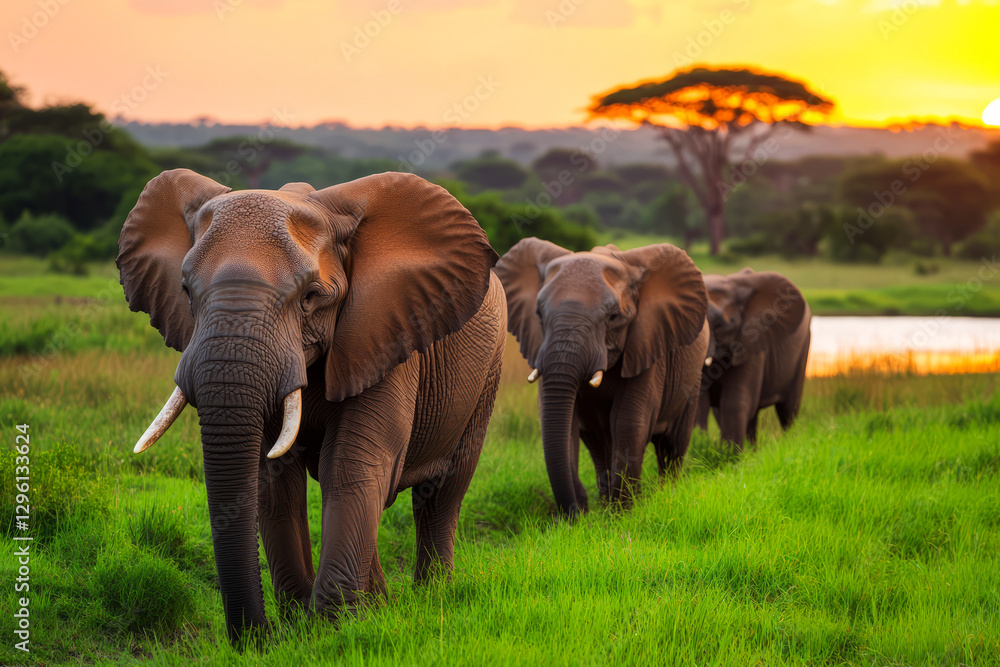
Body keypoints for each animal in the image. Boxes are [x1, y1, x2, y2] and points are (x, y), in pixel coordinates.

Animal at [118, 169, 506, 645]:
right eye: (186, 292)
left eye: (310, 297)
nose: (255, 638)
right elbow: (273, 479)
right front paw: (300, 623)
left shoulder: (384, 336)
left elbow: (351, 465)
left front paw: (329, 630)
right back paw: (379, 605)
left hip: (488, 371)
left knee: (442, 490)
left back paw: (433, 596)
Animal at [494, 239, 709, 517]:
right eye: (539, 315)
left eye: (613, 317)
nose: (577, 511)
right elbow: (566, 423)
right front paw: (592, 514)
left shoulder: (647, 345)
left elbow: (628, 421)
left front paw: (624, 513)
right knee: (598, 442)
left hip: (692, 378)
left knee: (672, 444)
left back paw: (665, 494)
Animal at [696, 268, 811, 450]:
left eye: (721, 325)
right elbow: (699, 403)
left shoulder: (753, 342)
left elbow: (735, 402)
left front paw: (731, 456)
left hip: (803, 349)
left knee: (788, 410)